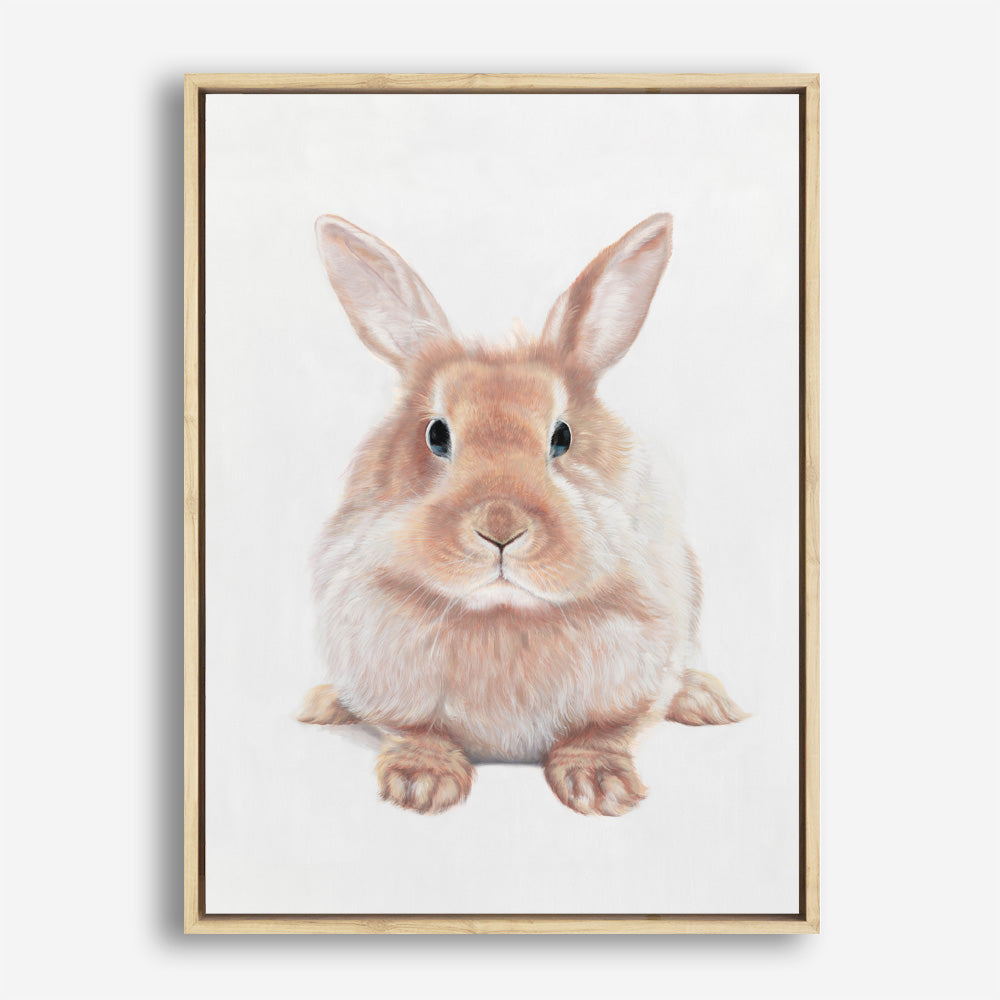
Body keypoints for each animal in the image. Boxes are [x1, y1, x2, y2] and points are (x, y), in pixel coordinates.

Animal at [298, 213, 747, 817]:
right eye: (436, 434)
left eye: (563, 436)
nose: (501, 528)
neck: (503, 615)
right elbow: (414, 730)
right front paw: (422, 783)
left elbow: (602, 731)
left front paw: (601, 788)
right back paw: (324, 704)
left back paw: (706, 700)